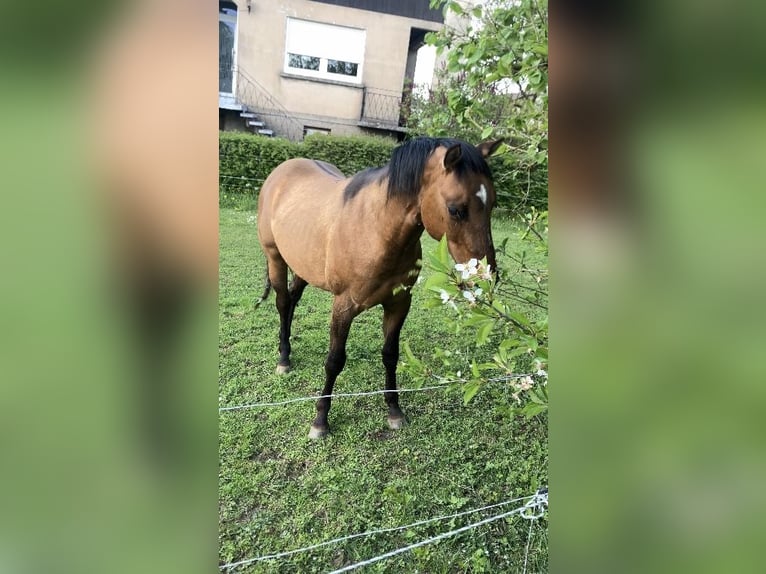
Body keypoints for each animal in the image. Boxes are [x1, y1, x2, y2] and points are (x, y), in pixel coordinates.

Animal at [257, 137, 503, 438]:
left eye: (492, 204)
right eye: (456, 209)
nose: (486, 277)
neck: (376, 230)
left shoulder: (398, 303)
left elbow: (390, 355)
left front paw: (394, 411)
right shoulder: (343, 307)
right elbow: (334, 360)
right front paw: (320, 420)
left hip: (302, 265)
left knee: (292, 298)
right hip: (275, 258)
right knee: (282, 302)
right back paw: (284, 358)